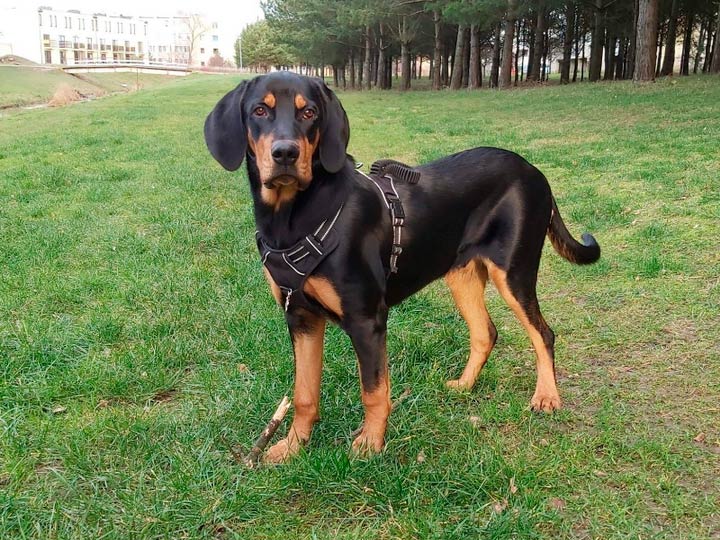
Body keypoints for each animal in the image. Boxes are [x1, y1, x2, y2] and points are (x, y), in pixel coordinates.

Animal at [204, 72, 600, 463]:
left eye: (309, 112)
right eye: (259, 110)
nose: (285, 153)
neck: (292, 217)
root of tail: (535, 171)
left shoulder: (366, 320)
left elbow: (374, 390)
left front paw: (369, 444)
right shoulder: (301, 317)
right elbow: (304, 393)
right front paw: (291, 447)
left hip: (514, 271)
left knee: (543, 333)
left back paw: (546, 397)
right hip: (461, 274)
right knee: (485, 332)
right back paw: (464, 385)